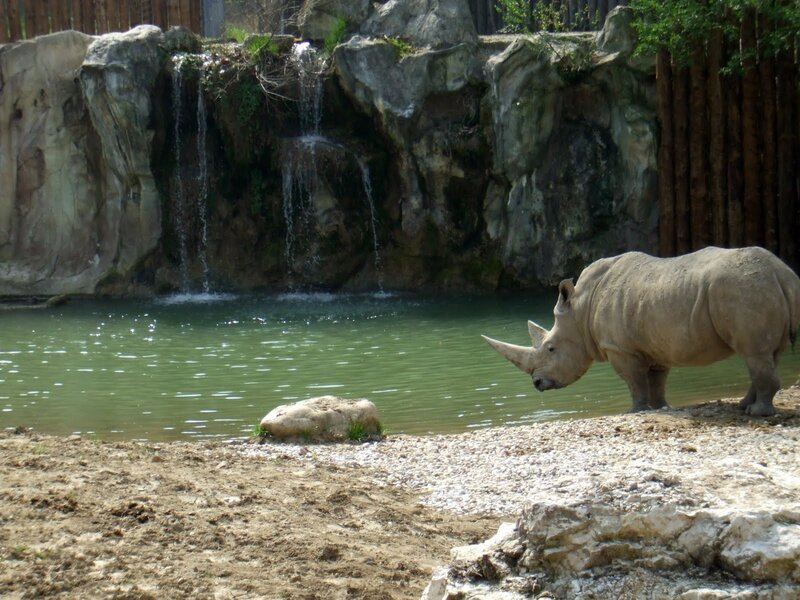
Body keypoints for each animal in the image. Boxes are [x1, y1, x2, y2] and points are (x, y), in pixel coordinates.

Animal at [483, 247, 800, 416]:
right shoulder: (655, 344)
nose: (537, 383)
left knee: (754, 352)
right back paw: (745, 407)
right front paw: (659, 408)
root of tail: (781, 272)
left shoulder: (619, 348)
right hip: (756, 287)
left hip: (742, 288)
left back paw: (757, 413)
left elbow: (634, 380)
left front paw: (633, 412)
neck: (580, 310)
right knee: (766, 354)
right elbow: (656, 379)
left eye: (550, 348)